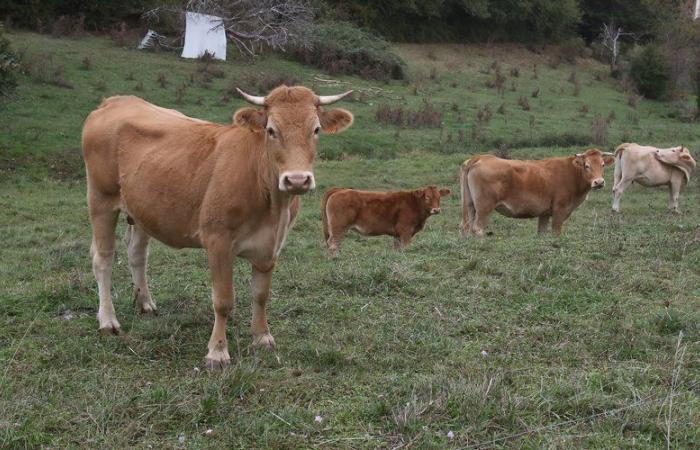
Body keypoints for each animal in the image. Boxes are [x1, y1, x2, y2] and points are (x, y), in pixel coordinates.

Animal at [80, 86, 356, 368]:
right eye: (271, 130)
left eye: (316, 129)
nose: (297, 180)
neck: (271, 205)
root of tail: (115, 101)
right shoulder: (218, 241)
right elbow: (223, 300)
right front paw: (218, 352)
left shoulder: (271, 246)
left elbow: (261, 295)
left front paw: (262, 337)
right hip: (101, 199)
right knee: (103, 259)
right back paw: (108, 321)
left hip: (142, 208)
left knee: (137, 252)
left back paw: (145, 303)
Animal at [322, 185, 452, 255]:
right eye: (427, 197)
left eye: (439, 197)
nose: (436, 210)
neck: (414, 203)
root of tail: (339, 190)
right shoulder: (405, 231)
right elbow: (406, 248)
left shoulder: (397, 234)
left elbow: (397, 249)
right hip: (338, 227)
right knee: (333, 243)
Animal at [460, 149, 612, 237]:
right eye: (587, 165)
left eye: (603, 164)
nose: (599, 182)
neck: (572, 172)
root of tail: (480, 157)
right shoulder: (560, 210)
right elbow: (556, 233)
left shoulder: (544, 213)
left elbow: (542, 233)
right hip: (484, 207)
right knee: (477, 228)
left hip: (469, 205)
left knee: (466, 226)